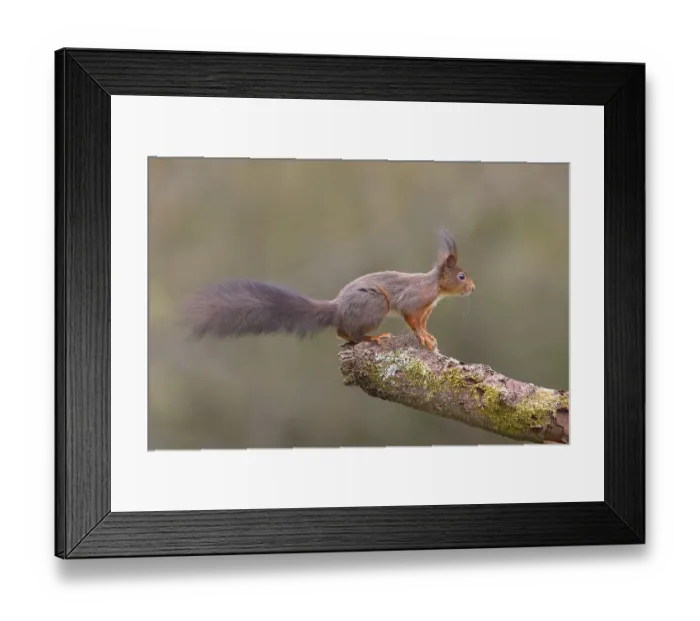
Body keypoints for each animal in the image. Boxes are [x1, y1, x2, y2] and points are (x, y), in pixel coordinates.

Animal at [184, 229, 475, 351]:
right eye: (461, 276)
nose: (473, 287)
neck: (435, 287)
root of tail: (337, 308)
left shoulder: (426, 310)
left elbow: (422, 324)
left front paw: (428, 336)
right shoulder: (414, 301)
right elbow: (412, 320)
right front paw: (423, 337)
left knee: (341, 332)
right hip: (376, 304)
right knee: (352, 333)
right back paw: (373, 338)